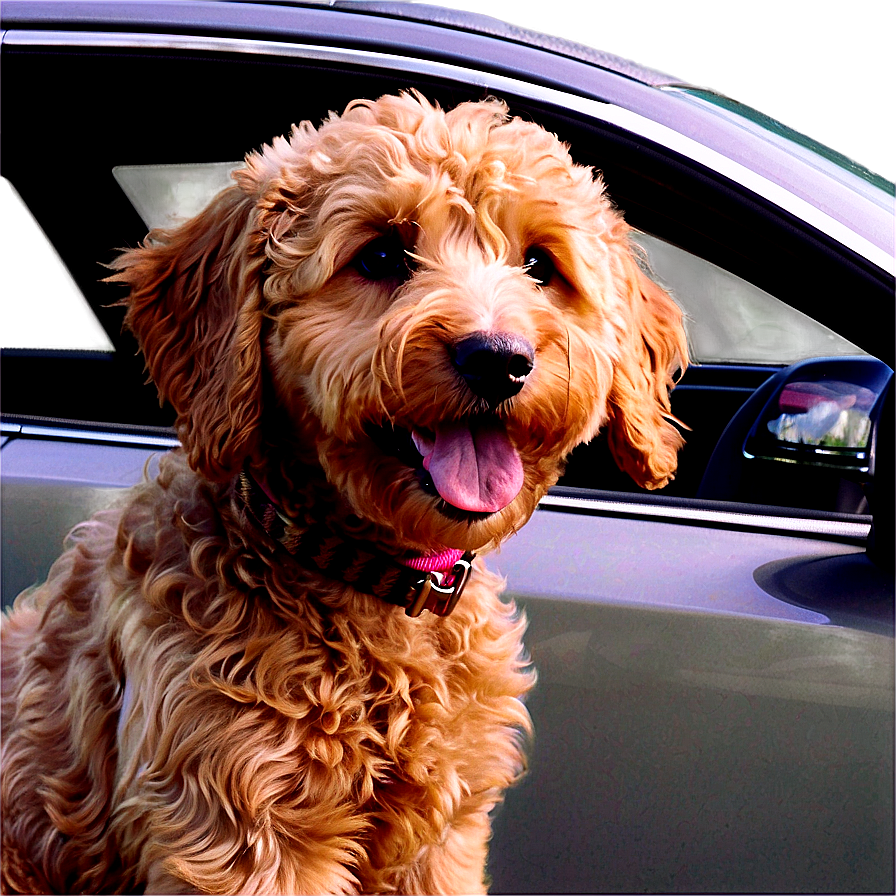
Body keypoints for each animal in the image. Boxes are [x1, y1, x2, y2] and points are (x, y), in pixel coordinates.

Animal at [0, 89, 688, 888]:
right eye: (382, 255)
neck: (376, 590)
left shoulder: (445, 839)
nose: (499, 359)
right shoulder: (244, 834)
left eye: (539, 264)